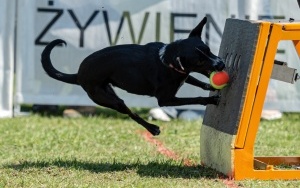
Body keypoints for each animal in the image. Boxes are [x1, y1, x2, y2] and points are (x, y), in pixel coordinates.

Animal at [41, 16, 225, 136]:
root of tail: (78, 75)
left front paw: (210, 86)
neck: (167, 58)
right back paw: (152, 128)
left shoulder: (183, 76)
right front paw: (210, 99)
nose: (221, 64)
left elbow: (196, 81)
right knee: (131, 113)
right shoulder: (165, 99)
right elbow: (193, 98)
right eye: (199, 61)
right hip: (108, 98)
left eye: (209, 50)